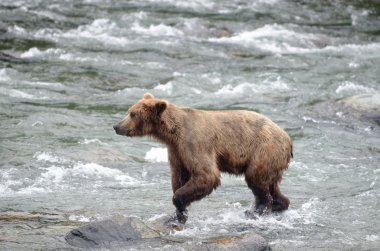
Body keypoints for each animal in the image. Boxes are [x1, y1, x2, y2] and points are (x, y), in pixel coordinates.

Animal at [112, 92, 290, 224]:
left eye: (132, 114)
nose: (116, 126)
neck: (172, 133)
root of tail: (288, 138)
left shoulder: (194, 143)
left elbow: (206, 174)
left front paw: (179, 203)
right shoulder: (176, 151)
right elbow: (179, 176)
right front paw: (177, 214)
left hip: (264, 150)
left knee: (256, 179)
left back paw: (256, 211)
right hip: (273, 161)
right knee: (272, 185)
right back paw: (278, 204)